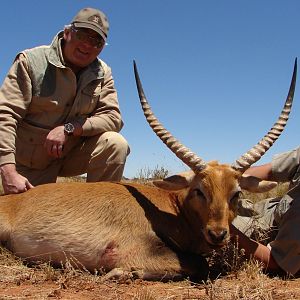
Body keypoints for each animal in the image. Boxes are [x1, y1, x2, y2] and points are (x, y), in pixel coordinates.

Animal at [0, 59, 296, 282]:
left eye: (235, 193)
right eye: (199, 190)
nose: (217, 234)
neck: (172, 208)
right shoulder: (139, 250)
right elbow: (197, 264)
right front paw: (121, 273)